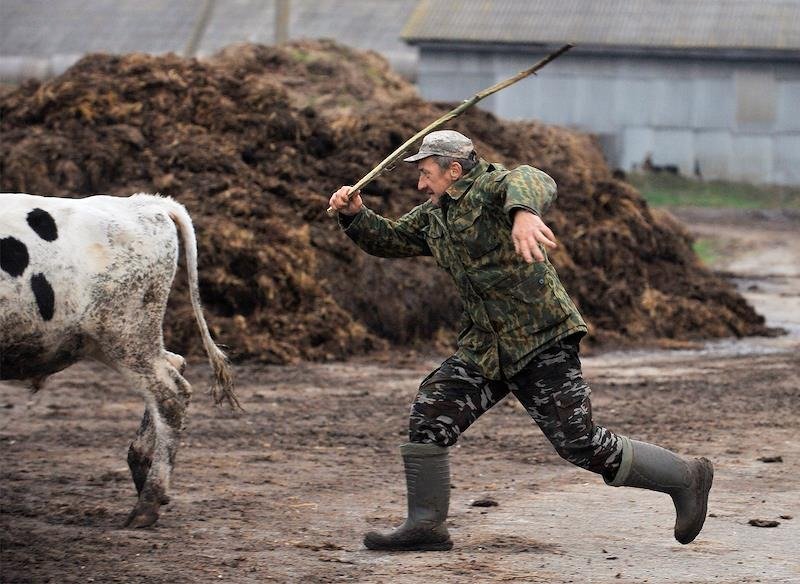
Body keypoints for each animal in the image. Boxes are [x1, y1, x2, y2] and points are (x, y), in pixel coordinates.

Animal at [0, 193, 238, 528]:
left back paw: (146, 506)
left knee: (170, 393)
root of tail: (145, 204)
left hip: (125, 334)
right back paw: (143, 472)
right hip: (113, 341)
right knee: (174, 364)